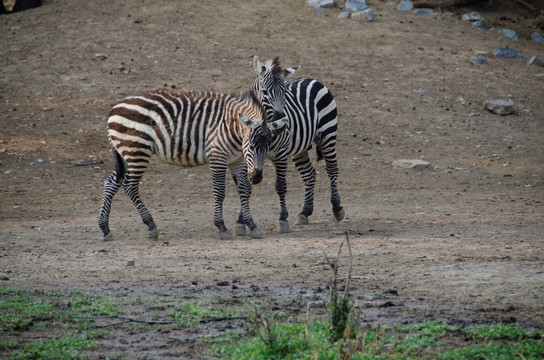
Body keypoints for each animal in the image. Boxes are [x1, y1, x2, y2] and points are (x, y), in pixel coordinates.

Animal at [96, 89, 288, 242]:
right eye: (252, 146)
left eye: (268, 147)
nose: (257, 177)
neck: (232, 129)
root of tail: (114, 108)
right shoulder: (218, 157)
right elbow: (220, 192)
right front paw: (222, 227)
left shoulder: (237, 161)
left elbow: (245, 190)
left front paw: (252, 225)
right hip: (137, 149)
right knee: (130, 185)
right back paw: (151, 225)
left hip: (125, 152)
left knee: (111, 182)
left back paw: (105, 229)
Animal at [243, 54, 344, 232]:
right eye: (265, 92)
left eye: (284, 92)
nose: (281, 122)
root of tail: (311, 79)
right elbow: (244, 186)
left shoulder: (281, 155)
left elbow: (281, 185)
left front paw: (283, 219)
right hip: (300, 149)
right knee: (309, 174)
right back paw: (305, 212)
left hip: (328, 135)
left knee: (332, 169)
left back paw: (337, 208)